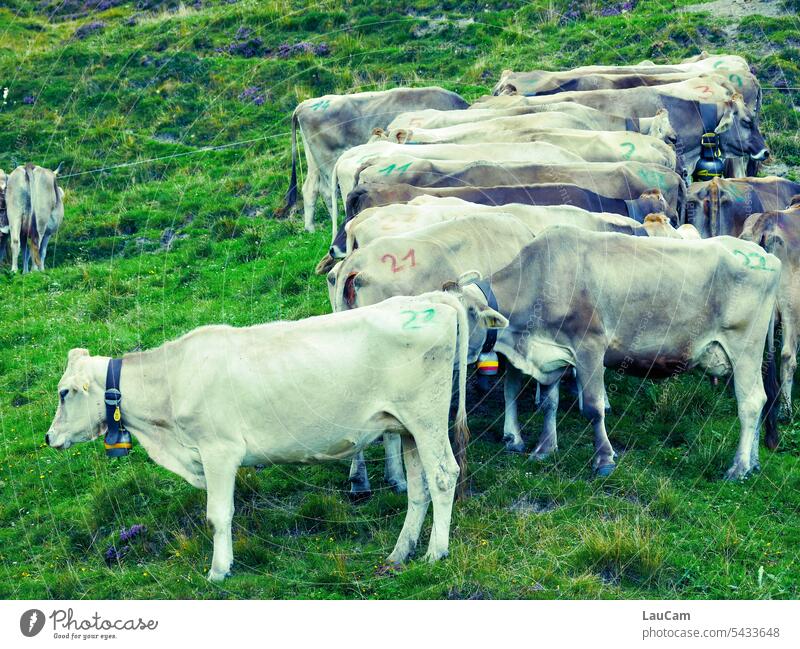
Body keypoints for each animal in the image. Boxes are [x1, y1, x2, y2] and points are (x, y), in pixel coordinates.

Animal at [45, 292, 506, 576]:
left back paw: (435, 552)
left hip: (426, 418)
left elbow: (218, 514)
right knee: (419, 488)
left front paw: (219, 570)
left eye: (64, 392)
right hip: (406, 427)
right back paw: (400, 551)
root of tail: (428, 299)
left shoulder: (219, 451)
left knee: (444, 475)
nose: (49, 438)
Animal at [282, 85, 466, 229]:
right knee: (328, 191)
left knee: (310, 187)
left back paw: (310, 228)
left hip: (313, 159)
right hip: (327, 157)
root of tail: (304, 104)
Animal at [440, 228, 780, 476]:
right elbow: (549, 403)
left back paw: (739, 467)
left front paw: (604, 460)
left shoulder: (590, 346)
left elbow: (593, 407)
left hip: (745, 347)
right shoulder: (552, 353)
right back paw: (754, 463)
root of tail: (763, 255)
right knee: (761, 400)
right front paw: (545, 449)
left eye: (457, 324)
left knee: (751, 402)